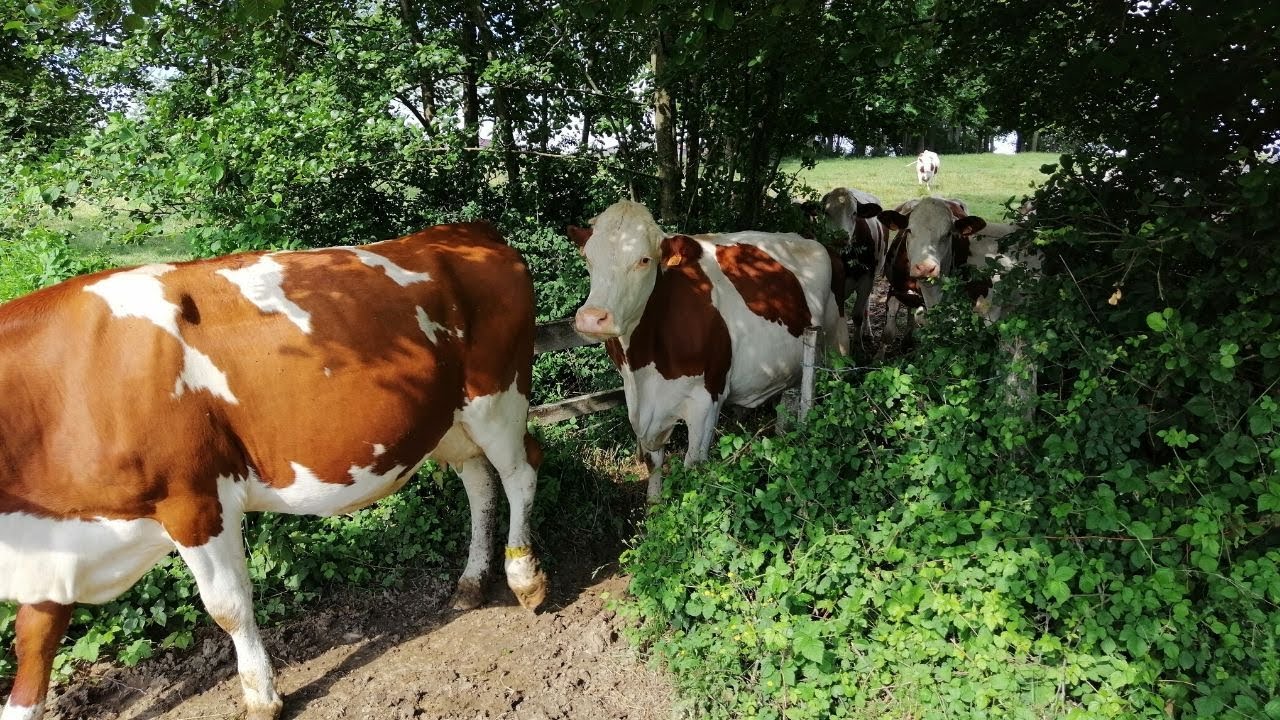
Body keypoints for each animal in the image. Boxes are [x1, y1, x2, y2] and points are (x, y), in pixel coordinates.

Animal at [0, 222, 547, 720]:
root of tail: (465, 231)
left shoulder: (196, 502)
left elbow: (228, 606)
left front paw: (262, 697)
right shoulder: (55, 544)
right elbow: (33, 643)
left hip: (497, 397)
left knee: (521, 471)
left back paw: (523, 577)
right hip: (450, 420)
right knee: (479, 482)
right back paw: (472, 582)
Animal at [568, 200, 848, 502]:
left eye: (644, 260)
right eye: (588, 258)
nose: (592, 318)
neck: (643, 367)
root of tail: (814, 241)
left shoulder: (707, 399)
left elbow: (693, 467)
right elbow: (654, 462)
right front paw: (653, 508)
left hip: (838, 347)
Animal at [819, 187, 888, 347]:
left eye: (854, 213)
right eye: (826, 212)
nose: (840, 237)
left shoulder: (867, 278)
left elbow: (857, 315)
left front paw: (857, 345)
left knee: (866, 305)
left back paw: (867, 332)